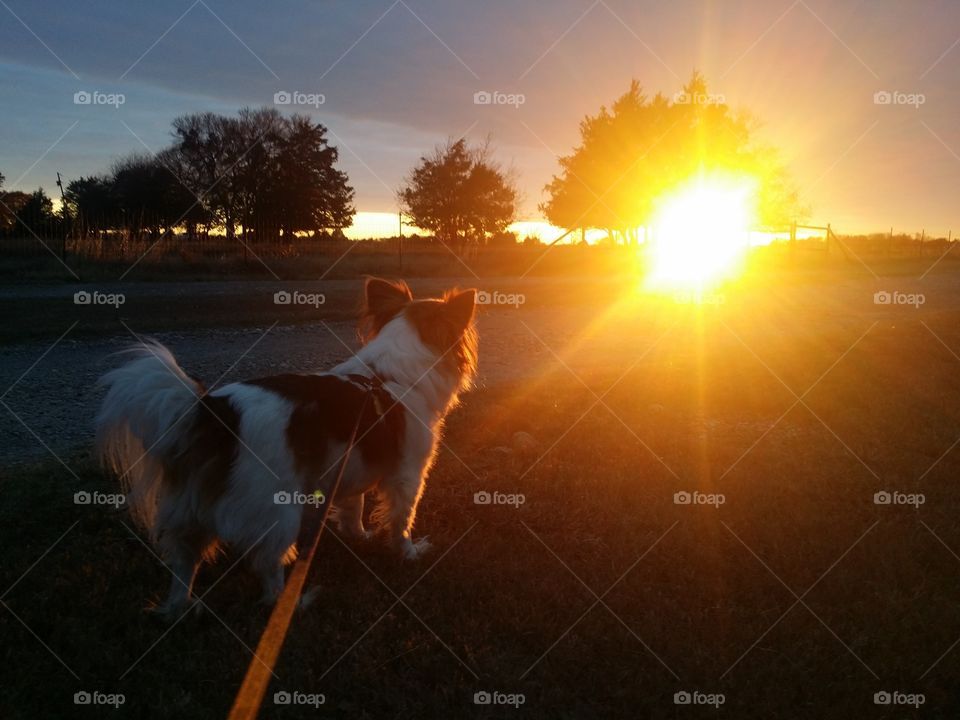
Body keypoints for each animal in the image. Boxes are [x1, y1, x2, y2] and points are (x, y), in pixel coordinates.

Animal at [95, 278, 478, 616]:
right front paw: (409, 553)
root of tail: (214, 411)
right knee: (268, 564)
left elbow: (353, 508)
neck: (387, 376)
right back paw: (290, 603)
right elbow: (401, 520)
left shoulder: (349, 467)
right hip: (279, 509)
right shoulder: (408, 474)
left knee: (185, 560)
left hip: (191, 510)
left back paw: (181, 606)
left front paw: (360, 536)